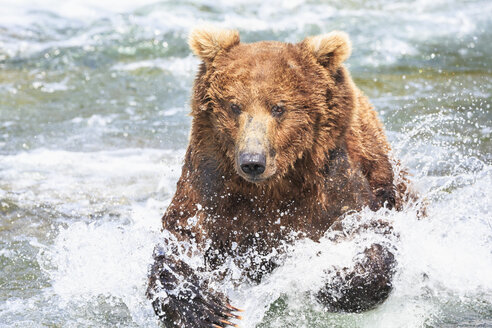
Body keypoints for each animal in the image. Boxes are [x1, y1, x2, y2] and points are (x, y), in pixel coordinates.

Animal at [148, 27, 410, 328]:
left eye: (278, 107)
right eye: (234, 106)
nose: (252, 162)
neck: (274, 186)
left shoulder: (331, 182)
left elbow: (368, 231)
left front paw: (330, 281)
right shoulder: (211, 178)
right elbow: (182, 235)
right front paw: (205, 307)